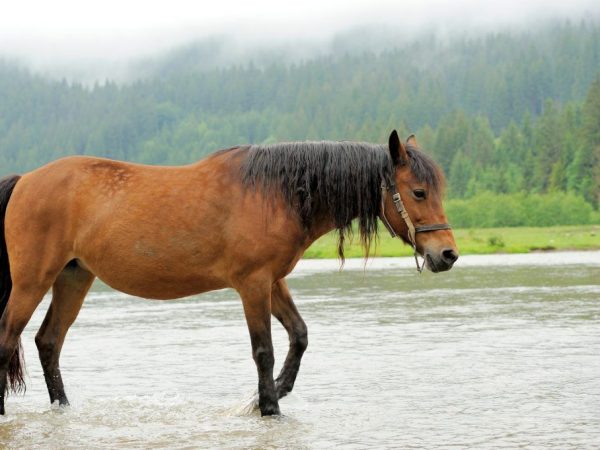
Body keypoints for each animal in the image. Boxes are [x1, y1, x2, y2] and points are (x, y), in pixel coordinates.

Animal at [0, 129, 458, 414]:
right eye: (418, 192)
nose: (448, 254)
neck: (275, 193)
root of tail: (26, 180)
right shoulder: (252, 284)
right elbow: (263, 350)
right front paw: (268, 407)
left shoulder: (274, 281)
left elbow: (299, 335)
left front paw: (273, 393)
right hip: (32, 281)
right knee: (8, 337)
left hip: (74, 277)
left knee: (48, 342)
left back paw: (63, 407)